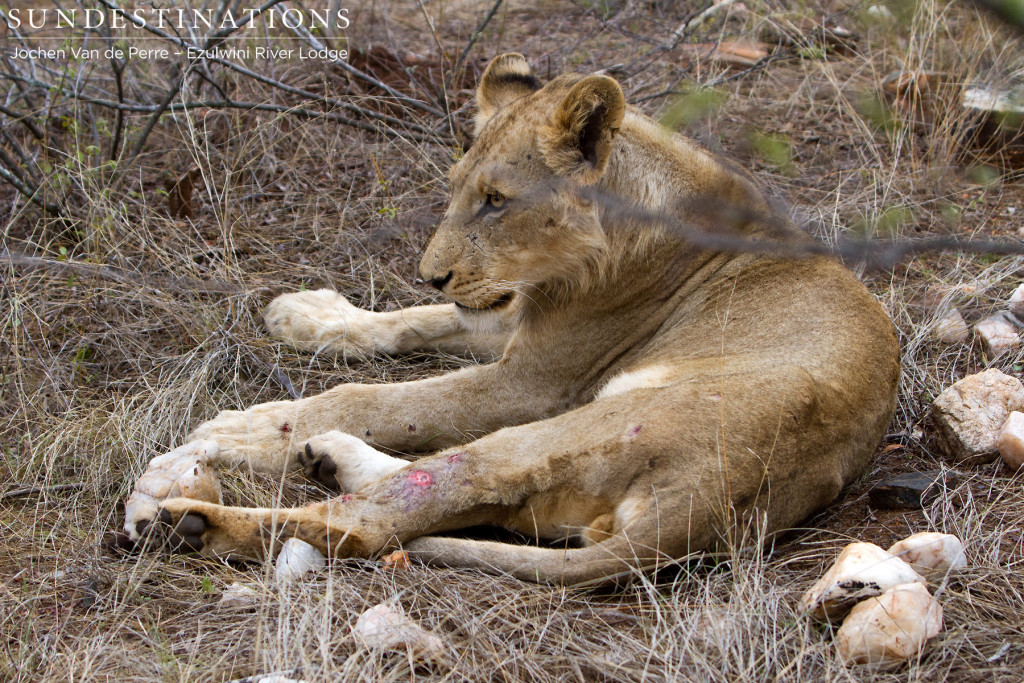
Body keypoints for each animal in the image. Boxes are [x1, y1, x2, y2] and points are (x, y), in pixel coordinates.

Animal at [130, 53, 905, 585]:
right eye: (455, 191)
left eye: (498, 200)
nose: (431, 270)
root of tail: (698, 515)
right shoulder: (512, 315)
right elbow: (412, 321)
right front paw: (306, 313)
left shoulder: (535, 382)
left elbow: (383, 398)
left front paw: (240, 429)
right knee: (475, 501)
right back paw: (329, 456)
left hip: (578, 423)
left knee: (389, 515)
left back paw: (189, 523)